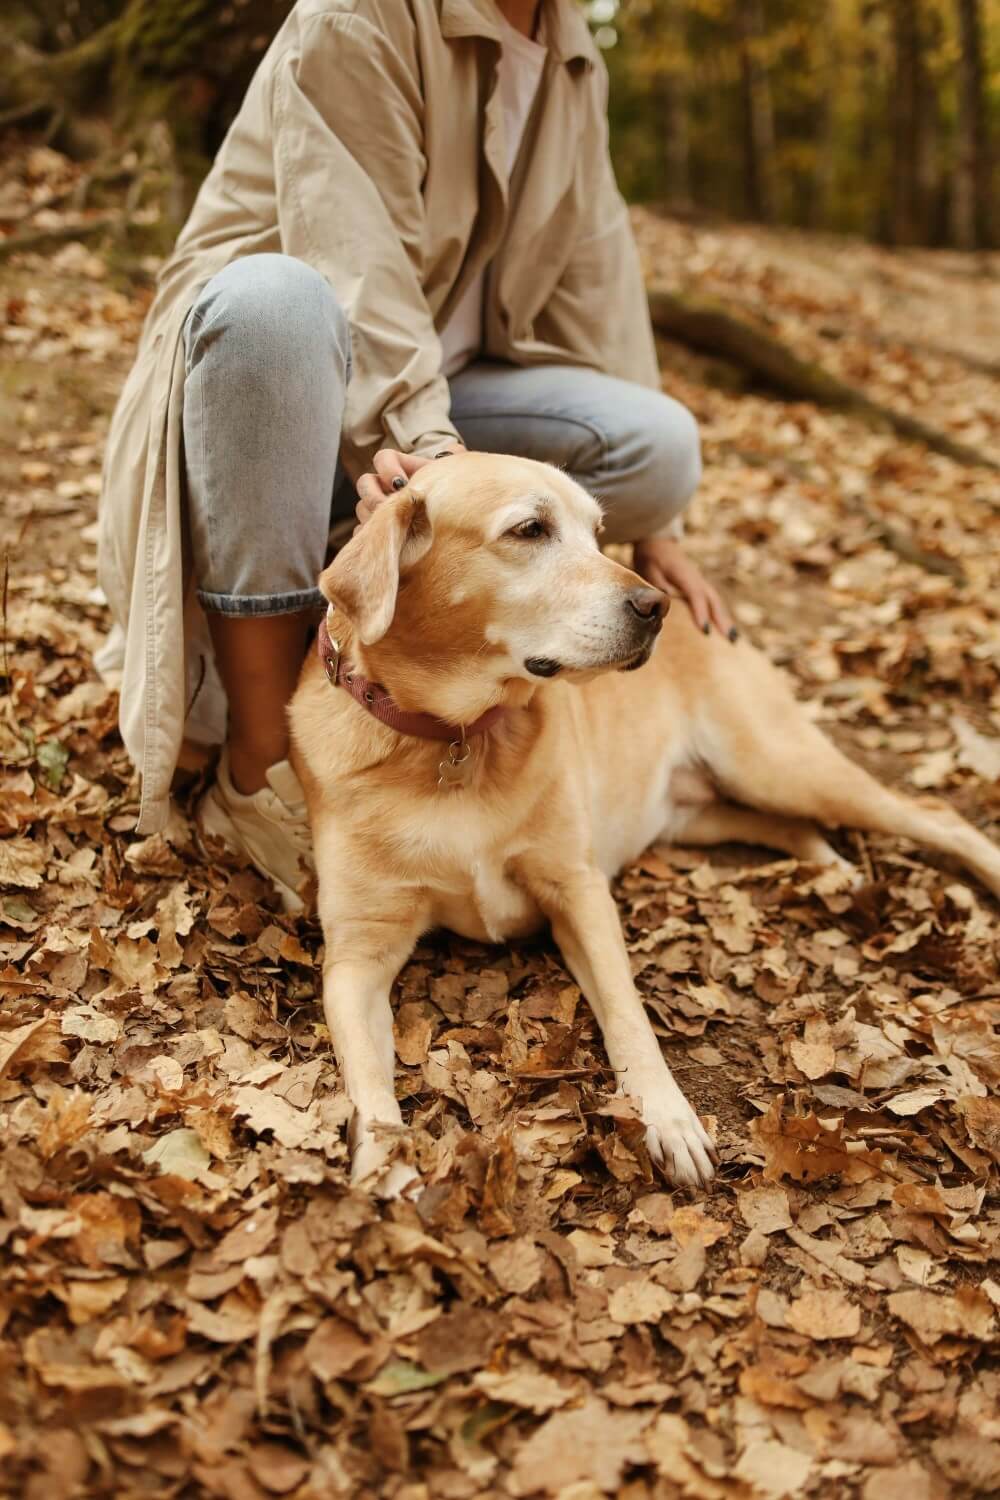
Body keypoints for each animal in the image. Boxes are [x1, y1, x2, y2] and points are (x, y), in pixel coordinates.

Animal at [289, 453, 1000, 1194]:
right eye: (530, 529)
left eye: (597, 532)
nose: (655, 606)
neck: (453, 740)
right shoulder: (357, 954)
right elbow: (366, 1077)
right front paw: (386, 1163)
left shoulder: (578, 892)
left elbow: (627, 1014)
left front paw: (667, 1118)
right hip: (704, 812)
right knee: (784, 826)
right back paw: (827, 866)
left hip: (777, 764)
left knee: (936, 813)